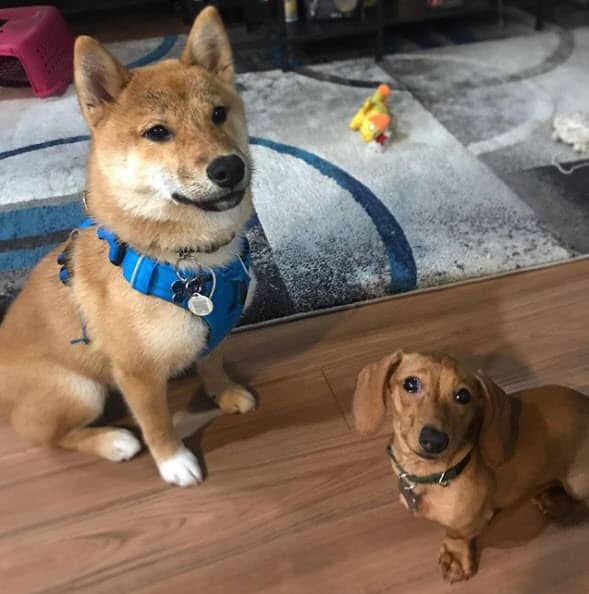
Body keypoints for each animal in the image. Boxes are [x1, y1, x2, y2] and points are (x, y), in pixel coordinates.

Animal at [0, 8, 255, 486]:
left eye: (218, 113)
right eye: (157, 132)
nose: (230, 168)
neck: (186, 261)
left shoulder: (215, 333)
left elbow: (212, 362)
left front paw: (224, 393)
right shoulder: (137, 373)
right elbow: (157, 422)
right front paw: (174, 462)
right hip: (80, 390)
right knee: (53, 436)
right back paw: (113, 441)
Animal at [352, 350, 588, 580]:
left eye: (463, 396)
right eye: (411, 384)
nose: (434, 440)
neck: (432, 474)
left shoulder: (466, 520)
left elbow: (456, 535)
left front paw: (455, 556)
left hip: (577, 484)